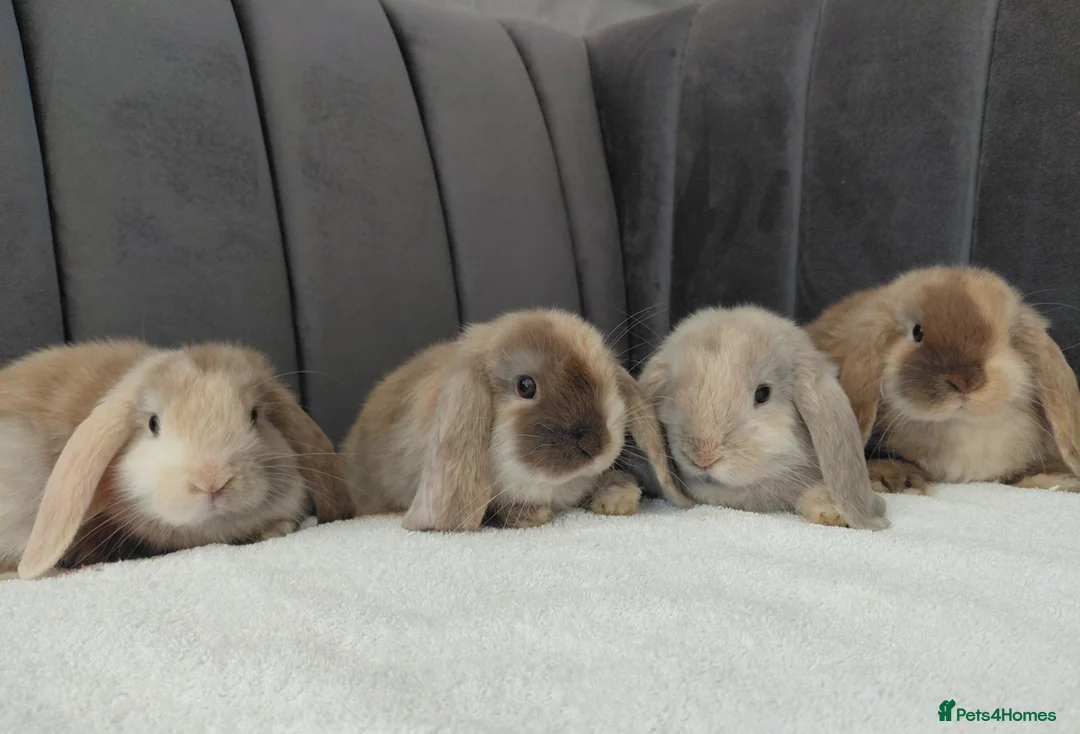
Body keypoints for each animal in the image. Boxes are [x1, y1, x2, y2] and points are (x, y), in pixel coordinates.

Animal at [808, 265, 1080, 494]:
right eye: (917, 332)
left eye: (1010, 339)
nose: (965, 382)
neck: (961, 425)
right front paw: (899, 481)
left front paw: (1062, 479)